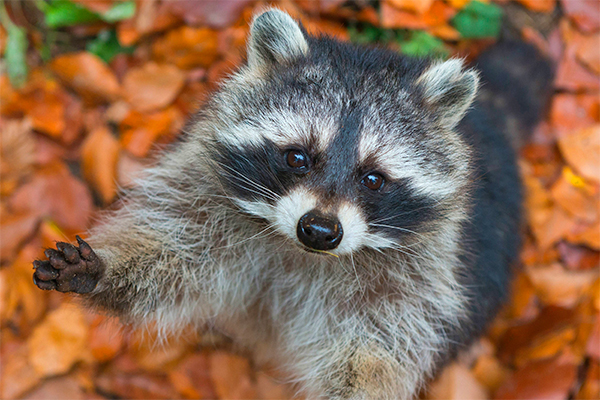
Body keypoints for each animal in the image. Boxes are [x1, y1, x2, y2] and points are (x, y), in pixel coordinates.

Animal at [32, 9, 552, 400]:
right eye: (297, 156)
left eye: (373, 178)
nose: (319, 231)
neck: (300, 252)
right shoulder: (206, 189)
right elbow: (174, 252)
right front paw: (106, 268)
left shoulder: (420, 271)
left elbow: (379, 345)